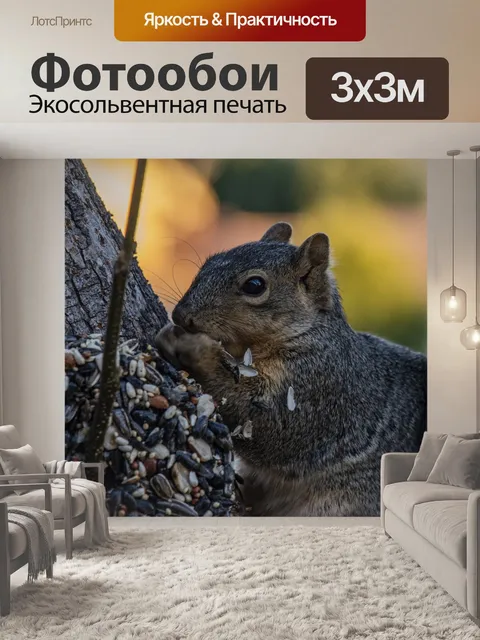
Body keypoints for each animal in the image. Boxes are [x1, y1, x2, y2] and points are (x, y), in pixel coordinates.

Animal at [155, 222, 427, 517]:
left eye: (254, 285)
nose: (180, 315)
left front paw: (193, 347)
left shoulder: (321, 387)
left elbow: (270, 425)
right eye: (209, 262)